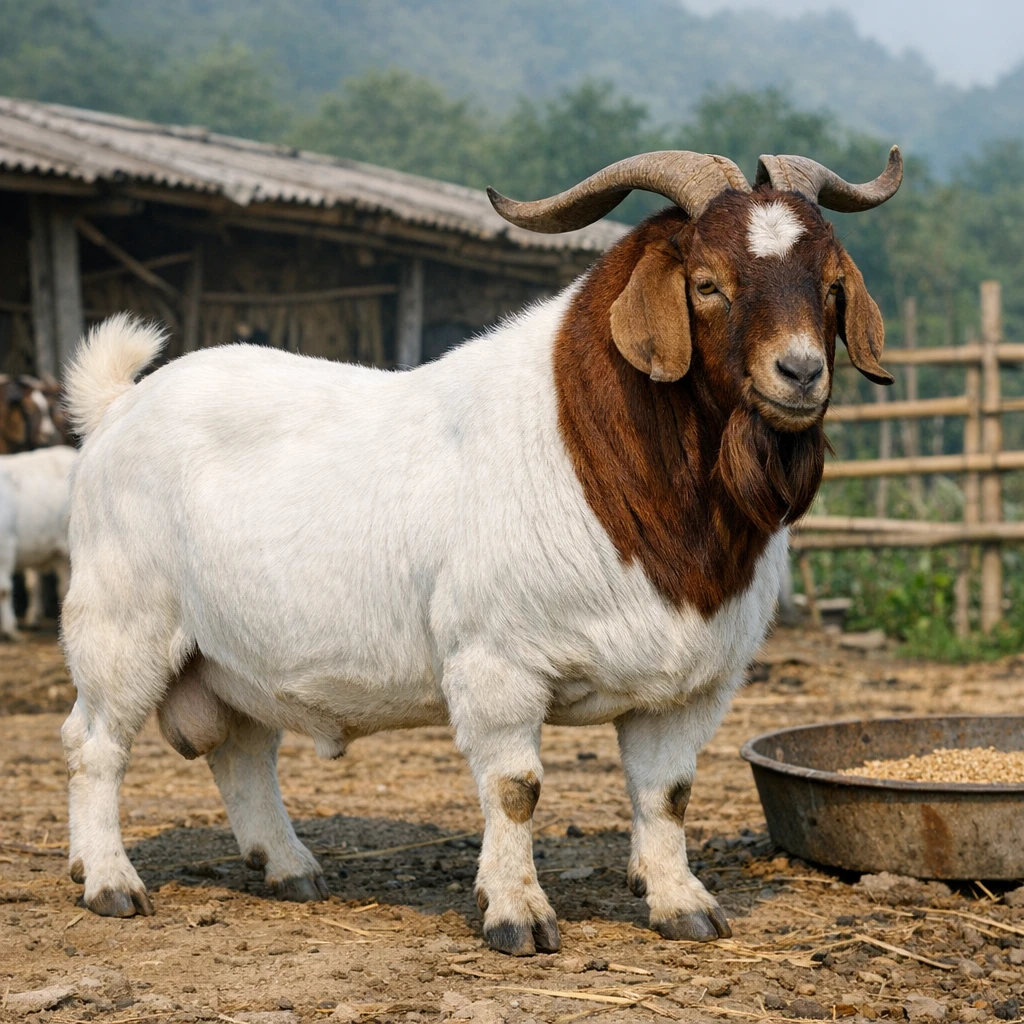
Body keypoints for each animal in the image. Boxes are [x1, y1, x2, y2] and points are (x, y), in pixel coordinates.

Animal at [60, 149, 900, 953]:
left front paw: (682, 905)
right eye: (706, 283)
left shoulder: (691, 686)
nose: (800, 373)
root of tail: (119, 404)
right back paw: (109, 882)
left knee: (240, 751)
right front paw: (516, 915)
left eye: (831, 284)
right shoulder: (497, 660)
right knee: (94, 743)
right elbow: (515, 789)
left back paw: (289, 868)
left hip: (228, 657)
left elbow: (667, 794)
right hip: (122, 623)